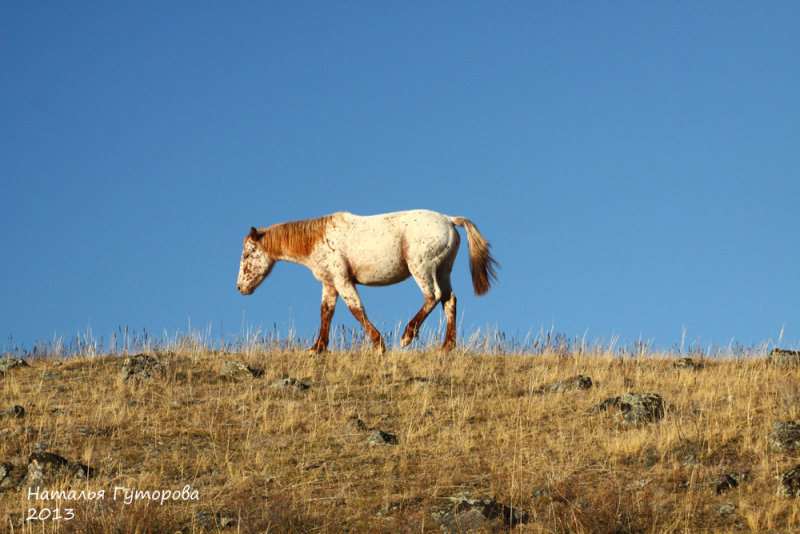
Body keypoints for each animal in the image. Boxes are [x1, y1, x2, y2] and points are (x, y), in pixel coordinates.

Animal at [238, 210, 496, 356]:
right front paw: (317, 348)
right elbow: (326, 313)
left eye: (247, 254)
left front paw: (379, 344)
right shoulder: (330, 284)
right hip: (442, 271)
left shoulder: (343, 281)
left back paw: (407, 336)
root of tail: (449, 220)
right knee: (449, 301)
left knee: (433, 297)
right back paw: (446, 347)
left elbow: (356, 310)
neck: (317, 239)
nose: (241, 288)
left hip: (422, 268)